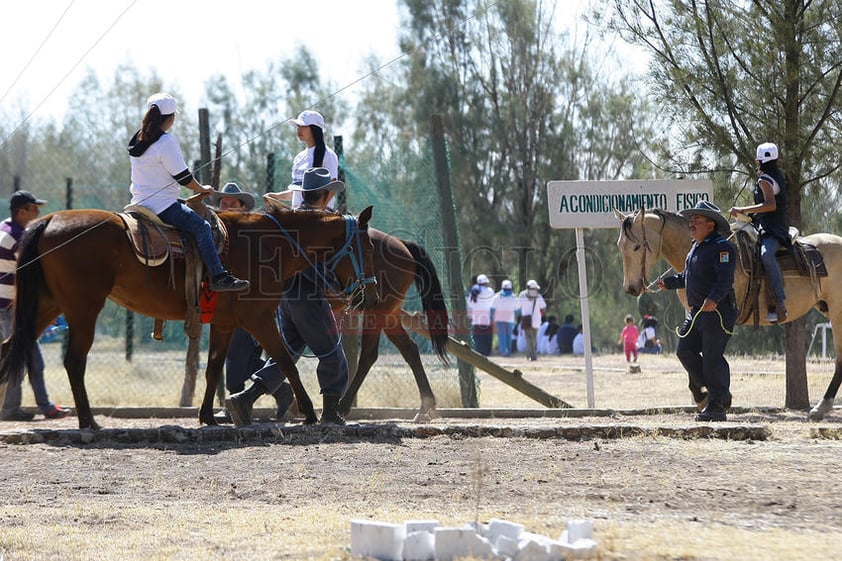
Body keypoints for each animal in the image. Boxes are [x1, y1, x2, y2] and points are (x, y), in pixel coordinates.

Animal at [0, 203, 374, 426]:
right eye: (368, 245)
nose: (364, 292)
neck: (267, 244)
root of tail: (49, 220)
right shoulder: (260, 320)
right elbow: (285, 362)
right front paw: (310, 412)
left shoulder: (224, 325)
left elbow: (213, 369)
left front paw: (208, 416)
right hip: (82, 310)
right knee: (74, 363)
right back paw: (89, 421)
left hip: (46, 308)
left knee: (10, 348)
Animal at [332, 228, 450, 420]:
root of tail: (401, 243)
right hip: (389, 316)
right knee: (410, 349)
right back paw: (426, 405)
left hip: (375, 312)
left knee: (368, 355)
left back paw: (343, 406)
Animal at [612, 208, 840, 418]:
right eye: (620, 245)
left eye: (637, 246)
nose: (630, 288)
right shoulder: (692, 314)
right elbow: (688, 355)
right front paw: (703, 397)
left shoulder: (720, 319)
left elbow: (711, 358)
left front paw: (715, 399)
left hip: (838, 313)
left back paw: (822, 406)